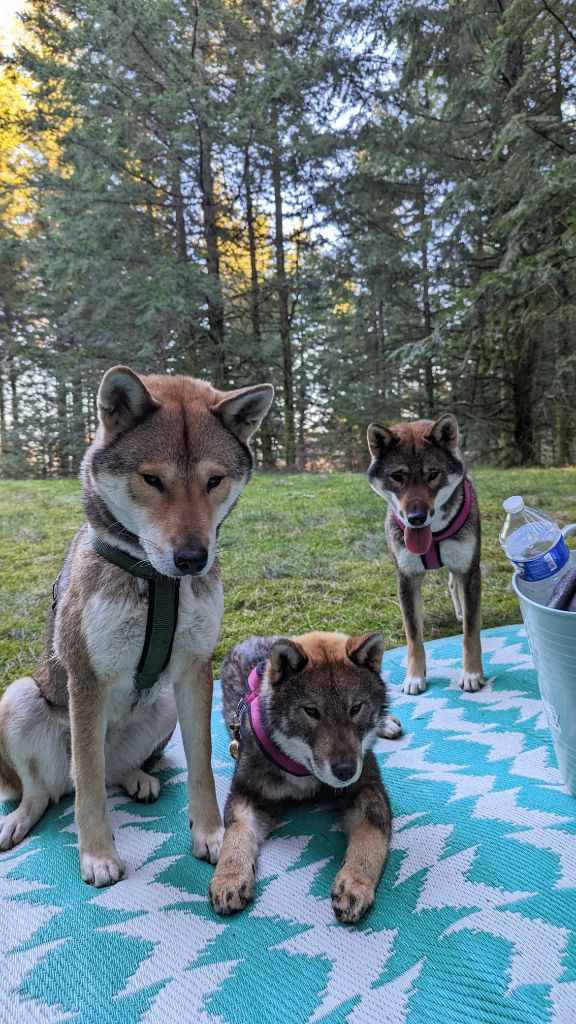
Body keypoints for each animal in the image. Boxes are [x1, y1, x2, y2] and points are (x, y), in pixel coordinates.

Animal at [0, 364, 272, 884]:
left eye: (214, 480)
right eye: (152, 479)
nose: (193, 559)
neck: (157, 584)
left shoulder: (193, 669)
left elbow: (203, 764)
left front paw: (211, 834)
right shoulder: (86, 678)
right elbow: (86, 784)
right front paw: (97, 855)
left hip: (163, 706)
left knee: (110, 774)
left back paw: (138, 779)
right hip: (19, 697)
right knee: (50, 790)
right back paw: (18, 820)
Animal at [208, 626, 391, 925]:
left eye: (356, 708)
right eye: (311, 711)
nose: (346, 771)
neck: (303, 769)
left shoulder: (368, 789)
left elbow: (370, 836)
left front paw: (355, 883)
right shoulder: (246, 793)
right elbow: (236, 834)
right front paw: (229, 877)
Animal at [364, 415, 481, 696]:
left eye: (433, 474)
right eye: (397, 476)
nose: (416, 518)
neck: (433, 532)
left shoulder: (470, 571)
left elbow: (470, 633)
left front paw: (471, 674)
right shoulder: (406, 579)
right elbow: (413, 635)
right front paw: (414, 678)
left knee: (454, 584)